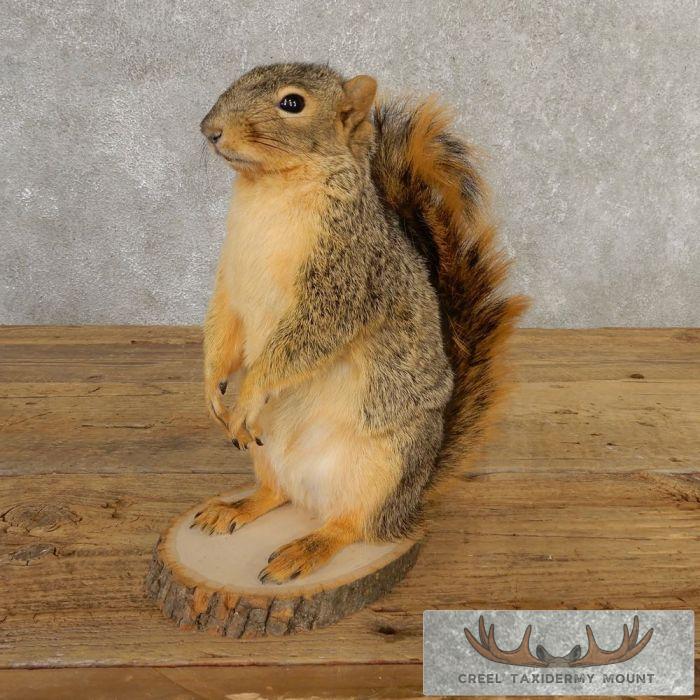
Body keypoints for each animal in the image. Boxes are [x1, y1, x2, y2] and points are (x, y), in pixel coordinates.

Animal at [194, 63, 527, 584]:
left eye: (293, 103)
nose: (210, 130)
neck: (271, 191)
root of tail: (411, 499)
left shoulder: (345, 280)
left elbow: (305, 340)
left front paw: (247, 394)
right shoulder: (230, 278)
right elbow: (222, 325)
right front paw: (212, 389)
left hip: (382, 466)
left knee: (354, 526)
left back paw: (306, 548)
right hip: (264, 454)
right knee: (276, 493)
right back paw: (237, 507)